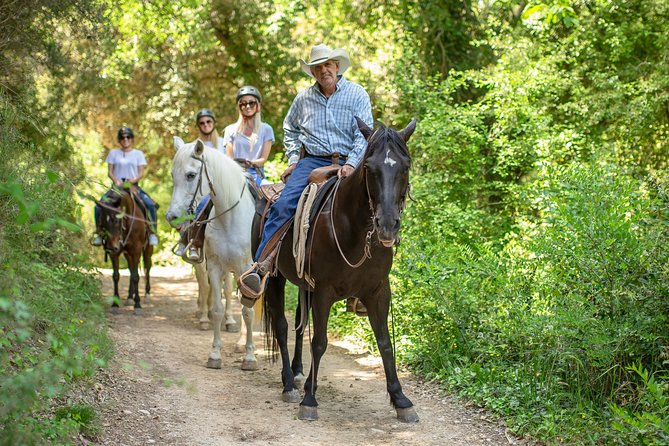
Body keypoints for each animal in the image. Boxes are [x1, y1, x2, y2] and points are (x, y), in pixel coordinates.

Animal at [96, 186, 153, 315]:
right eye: (102, 221)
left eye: (116, 220)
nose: (111, 247)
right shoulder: (115, 253)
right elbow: (116, 276)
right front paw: (115, 304)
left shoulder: (136, 250)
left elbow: (136, 276)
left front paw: (138, 305)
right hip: (127, 254)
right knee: (131, 269)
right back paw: (129, 297)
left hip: (147, 249)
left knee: (147, 267)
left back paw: (147, 295)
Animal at [166, 138, 258, 370]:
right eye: (172, 175)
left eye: (191, 175)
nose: (171, 217)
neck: (230, 218)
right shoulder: (215, 267)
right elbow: (216, 308)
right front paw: (215, 354)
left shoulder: (246, 271)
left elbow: (248, 311)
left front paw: (250, 357)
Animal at [262, 118, 418, 422]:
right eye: (369, 167)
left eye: (405, 166)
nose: (387, 225)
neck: (354, 229)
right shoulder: (324, 291)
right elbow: (320, 342)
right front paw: (309, 399)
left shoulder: (378, 291)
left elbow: (385, 343)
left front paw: (401, 400)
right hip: (275, 279)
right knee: (282, 326)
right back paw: (289, 384)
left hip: (305, 287)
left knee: (299, 325)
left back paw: (298, 373)